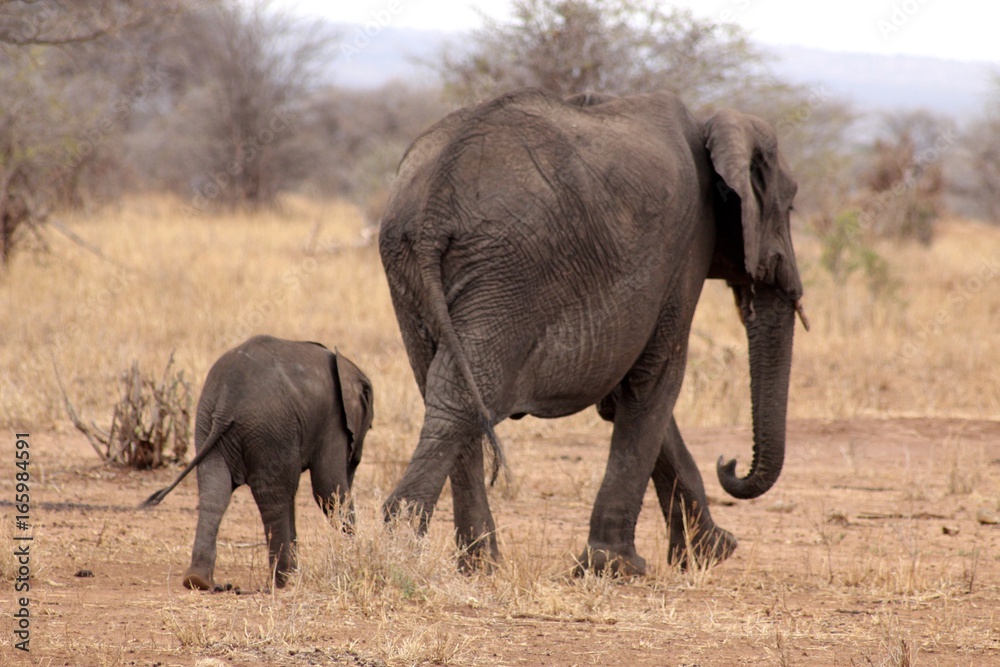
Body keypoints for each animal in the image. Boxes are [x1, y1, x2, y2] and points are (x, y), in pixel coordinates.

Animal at [140, 336, 372, 592]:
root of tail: (226, 401)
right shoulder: (333, 419)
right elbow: (328, 489)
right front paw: (356, 554)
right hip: (270, 427)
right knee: (275, 497)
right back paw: (283, 582)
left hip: (207, 422)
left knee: (215, 492)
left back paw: (199, 581)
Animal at [378, 88, 808, 576]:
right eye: (789, 208)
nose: (729, 462)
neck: (707, 127)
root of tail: (434, 204)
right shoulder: (687, 247)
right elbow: (656, 378)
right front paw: (617, 567)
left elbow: (621, 394)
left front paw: (710, 553)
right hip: (510, 273)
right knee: (468, 396)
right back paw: (411, 548)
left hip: (414, 267)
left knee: (447, 394)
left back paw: (476, 564)